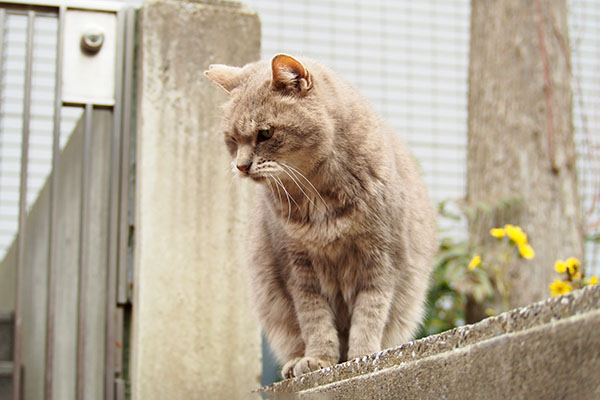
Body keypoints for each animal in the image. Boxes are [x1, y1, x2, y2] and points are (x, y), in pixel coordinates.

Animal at [205, 54, 436, 378]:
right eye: (232, 140)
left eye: (265, 133)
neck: (317, 194)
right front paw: (318, 359)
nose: (241, 166)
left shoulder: (381, 260)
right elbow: (314, 319)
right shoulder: (298, 269)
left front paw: (363, 356)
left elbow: (369, 314)